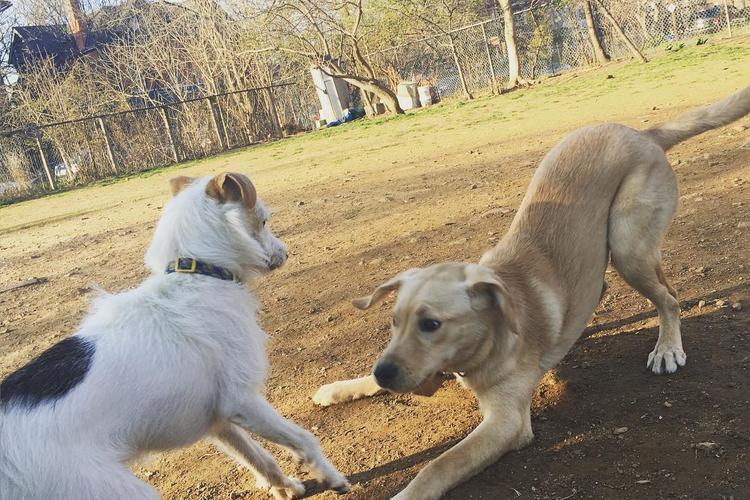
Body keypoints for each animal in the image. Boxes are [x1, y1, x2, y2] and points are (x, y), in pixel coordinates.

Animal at [0, 172, 350, 500]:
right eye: (263, 220)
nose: (285, 252)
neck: (201, 273)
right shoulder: (243, 401)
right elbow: (303, 439)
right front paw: (332, 477)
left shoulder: (219, 420)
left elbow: (259, 458)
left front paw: (284, 487)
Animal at [313, 87, 750, 499]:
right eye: (393, 322)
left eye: (432, 324)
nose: (383, 373)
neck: (488, 338)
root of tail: (643, 134)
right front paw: (341, 387)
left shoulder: (507, 422)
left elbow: (437, 466)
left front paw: (406, 493)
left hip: (629, 247)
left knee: (669, 298)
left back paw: (667, 348)